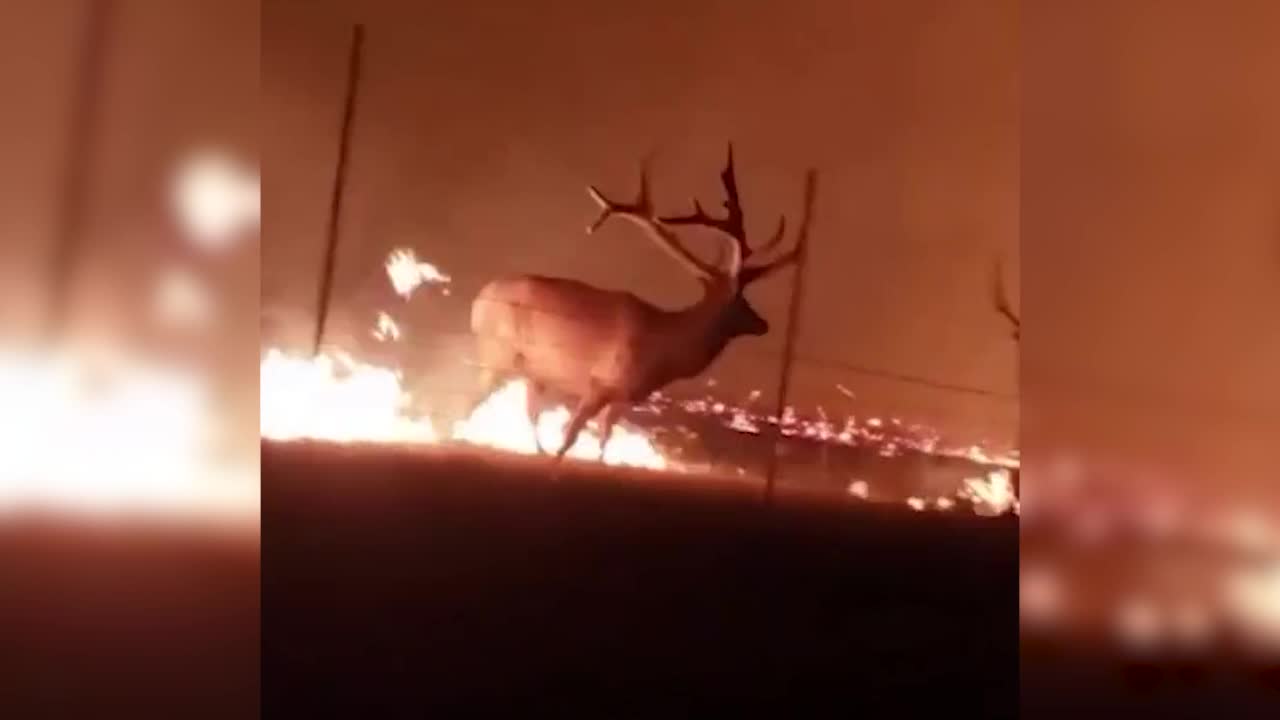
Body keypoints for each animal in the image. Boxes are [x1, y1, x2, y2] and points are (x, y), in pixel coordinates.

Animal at [473, 144, 819, 466]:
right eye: (740, 301)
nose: (764, 324)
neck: (665, 348)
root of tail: (478, 299)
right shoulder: (600, 383)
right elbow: (570, 436)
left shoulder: (624, 399)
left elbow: (603, 441)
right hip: (497, 352)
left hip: (531, 370)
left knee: (526, 411)